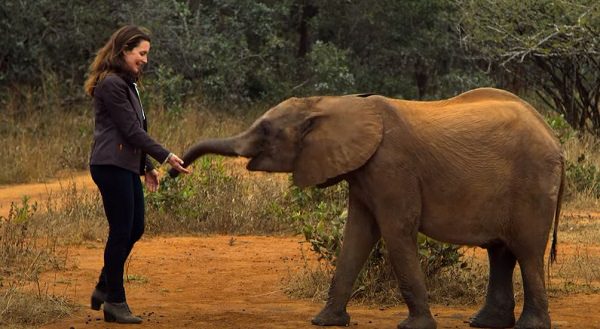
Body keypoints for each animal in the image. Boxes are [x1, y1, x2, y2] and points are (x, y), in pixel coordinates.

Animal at [169, 88, 564, 328]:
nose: (175, 170)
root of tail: (556, 139)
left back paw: (529, 325)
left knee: (527, 251)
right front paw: (324, 321)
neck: (334, 103)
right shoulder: (362, 173)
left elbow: (395, 231)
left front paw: (413, 326)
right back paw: (484, 323)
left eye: (266, 131)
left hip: (533, 182)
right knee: (501, 251)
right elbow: (357, 235)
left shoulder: (391, 166)